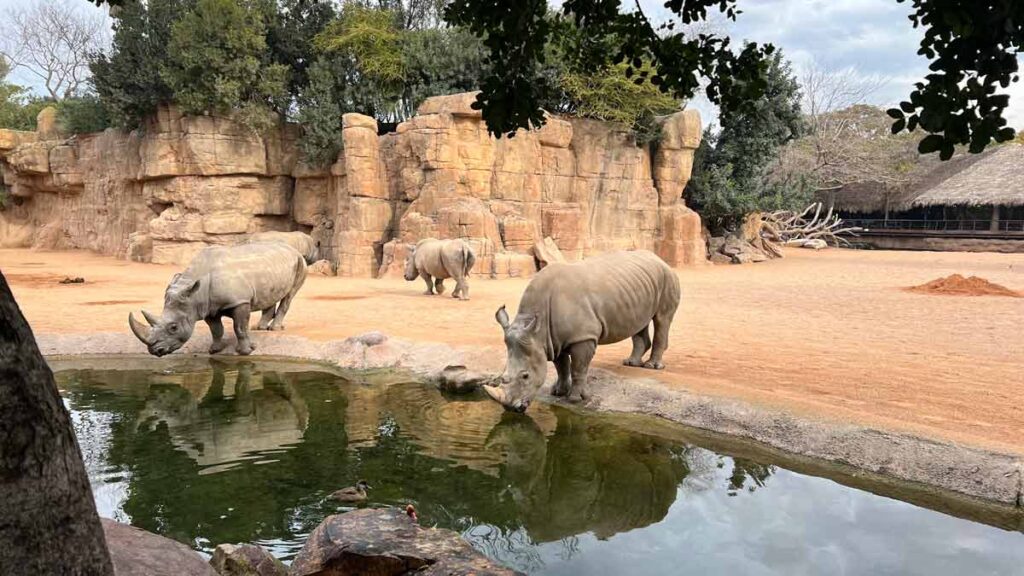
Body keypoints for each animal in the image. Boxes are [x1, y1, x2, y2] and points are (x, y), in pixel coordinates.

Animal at [128, 242, 308, 357]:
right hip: (273, 266)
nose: (155, 351)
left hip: (300, 262)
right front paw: (214, 350)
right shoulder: (207, 307)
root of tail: (292, 248)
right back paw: (260, 328)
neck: (195, 293)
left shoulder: (240, 302)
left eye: (173, 327)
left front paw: (245, 352)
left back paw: (274, 329)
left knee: (289, 295)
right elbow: (216, 329)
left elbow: (239, 328)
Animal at [483, 250, 680, 412]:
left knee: (662, 319)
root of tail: (659, 258)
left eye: (525, 376)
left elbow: (578, 368)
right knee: (640, 322)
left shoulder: (582, 337)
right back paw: (631, 363)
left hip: (667, 277)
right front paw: (558, 392)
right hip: (639, 285)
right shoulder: (553, 339)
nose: (511, 408)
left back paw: (652, 366)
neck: (537, 328)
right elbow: (562, 366)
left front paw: (575, 399)